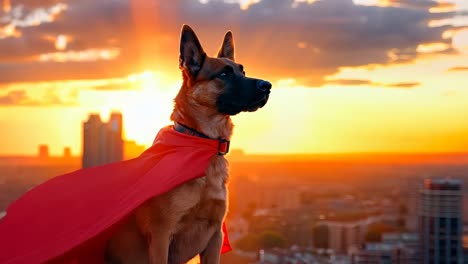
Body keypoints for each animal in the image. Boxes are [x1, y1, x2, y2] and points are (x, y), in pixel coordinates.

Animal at [103, 24, 270, 264]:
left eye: (243, 71)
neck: (201, 143)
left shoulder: (215, 236)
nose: (268, 86)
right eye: (224, 74)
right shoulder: (161, 236)